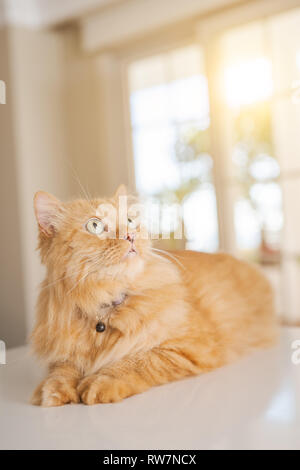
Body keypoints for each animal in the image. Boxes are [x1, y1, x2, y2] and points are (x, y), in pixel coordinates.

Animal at [31, 185, 278, 406]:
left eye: (130, 221)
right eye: (95, 225)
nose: (130, 235)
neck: (105, 306)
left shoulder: (189, 347)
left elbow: (137, 361)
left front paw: (101, 380)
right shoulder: (63, 353)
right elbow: (61, 371)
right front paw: (52, 390)